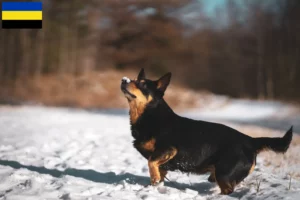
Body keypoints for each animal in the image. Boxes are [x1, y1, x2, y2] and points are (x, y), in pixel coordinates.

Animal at [120, 68, 292, 194]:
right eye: (133, 80)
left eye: (142, 84)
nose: (124, 79)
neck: (150, 115)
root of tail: (250, 140)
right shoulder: (163, 163)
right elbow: (156, 171)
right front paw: (155, 187)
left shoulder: (168, 149)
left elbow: (151, 162)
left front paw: (154, 180)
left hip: (224, 174)